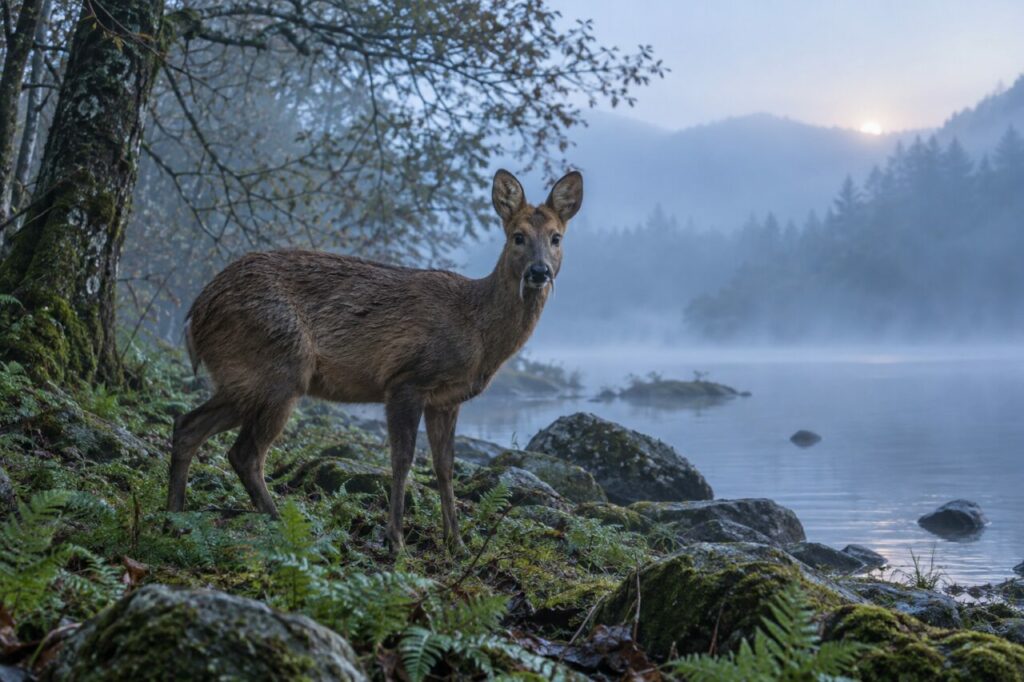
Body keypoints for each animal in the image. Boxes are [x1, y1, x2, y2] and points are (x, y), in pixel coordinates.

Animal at [167, 169, 583, 552]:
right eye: (518, 236)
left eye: (556, 237)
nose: (539, 271)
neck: (476, 327)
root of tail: (195, 315)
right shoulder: (405, 380)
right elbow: (402, 460)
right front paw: (396, 540)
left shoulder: (447, 399)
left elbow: (445, 467)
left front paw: (457, 543)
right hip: (280, 367)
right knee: (245, 452)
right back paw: (282, 525)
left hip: (244, 376)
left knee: (188, 426)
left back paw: (174, 515)